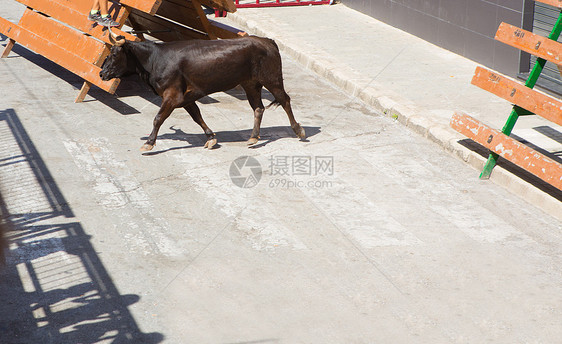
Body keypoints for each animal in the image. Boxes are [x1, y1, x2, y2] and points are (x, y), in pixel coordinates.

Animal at [98, 33, 304, 150]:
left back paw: (299, 130)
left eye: (114, 54)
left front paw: (149, 142)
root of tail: (268, 41)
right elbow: (197, 116)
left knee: (285, 100)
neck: (155, 59)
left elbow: (158, 118)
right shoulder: (186, 98)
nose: (101, 73)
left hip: (272, 80)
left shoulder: (172, 96)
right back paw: (253, 137)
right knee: (258, 108)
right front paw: (211, 137)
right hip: (250, 84)